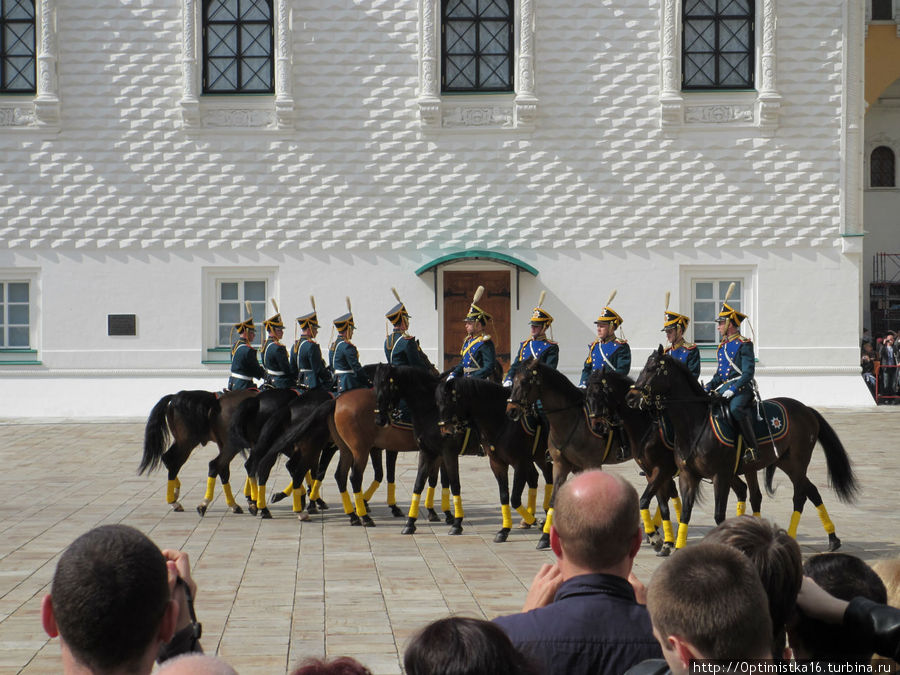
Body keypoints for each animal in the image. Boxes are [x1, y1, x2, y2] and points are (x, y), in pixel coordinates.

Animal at [141, 388, 258, 516]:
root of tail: (175, 397)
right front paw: (253, 500)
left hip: (187, 442)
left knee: (169, 459)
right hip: (188, 443)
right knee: (176, 463)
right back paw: (178, 502)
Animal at [432, 374, 552, 544]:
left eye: (450, 401)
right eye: (437, 403)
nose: (445, 431)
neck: (501, 421)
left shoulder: (520, 462)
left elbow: (515, 498)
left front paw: (536, 522)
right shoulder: (497, 463)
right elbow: (504, 496)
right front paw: (504, 530)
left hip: (542, 457)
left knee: (549, 478)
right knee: (536, 477)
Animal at [506, 360, 648, 548]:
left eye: (524, 382)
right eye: (513, 380)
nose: (511, 410)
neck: (571, 420)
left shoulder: (592, 464)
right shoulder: (561, 465)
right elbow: (554, 499)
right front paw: (545, 537)